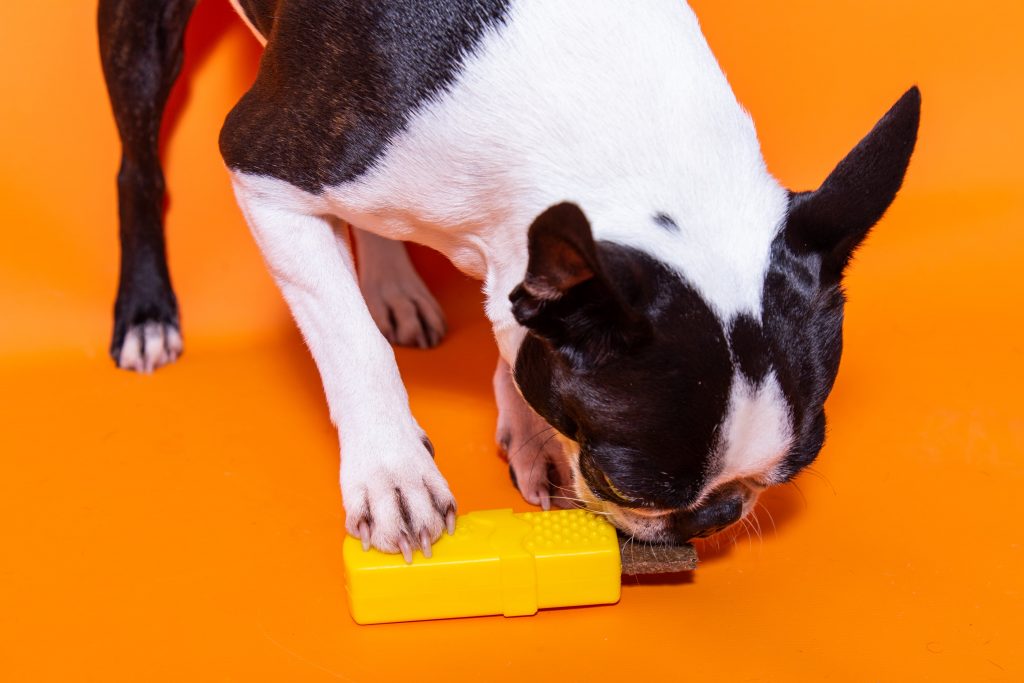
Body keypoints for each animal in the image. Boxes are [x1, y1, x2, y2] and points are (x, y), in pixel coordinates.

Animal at [101, 1, 921, 561]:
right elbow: (350, 340)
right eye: (629, 485)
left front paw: (530, 433)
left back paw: (391, 282)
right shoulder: (263, 168)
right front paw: (393, 472)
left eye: (793, 468)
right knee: (138, 165)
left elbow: (512, 336)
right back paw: (147, 313)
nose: (718, 516)